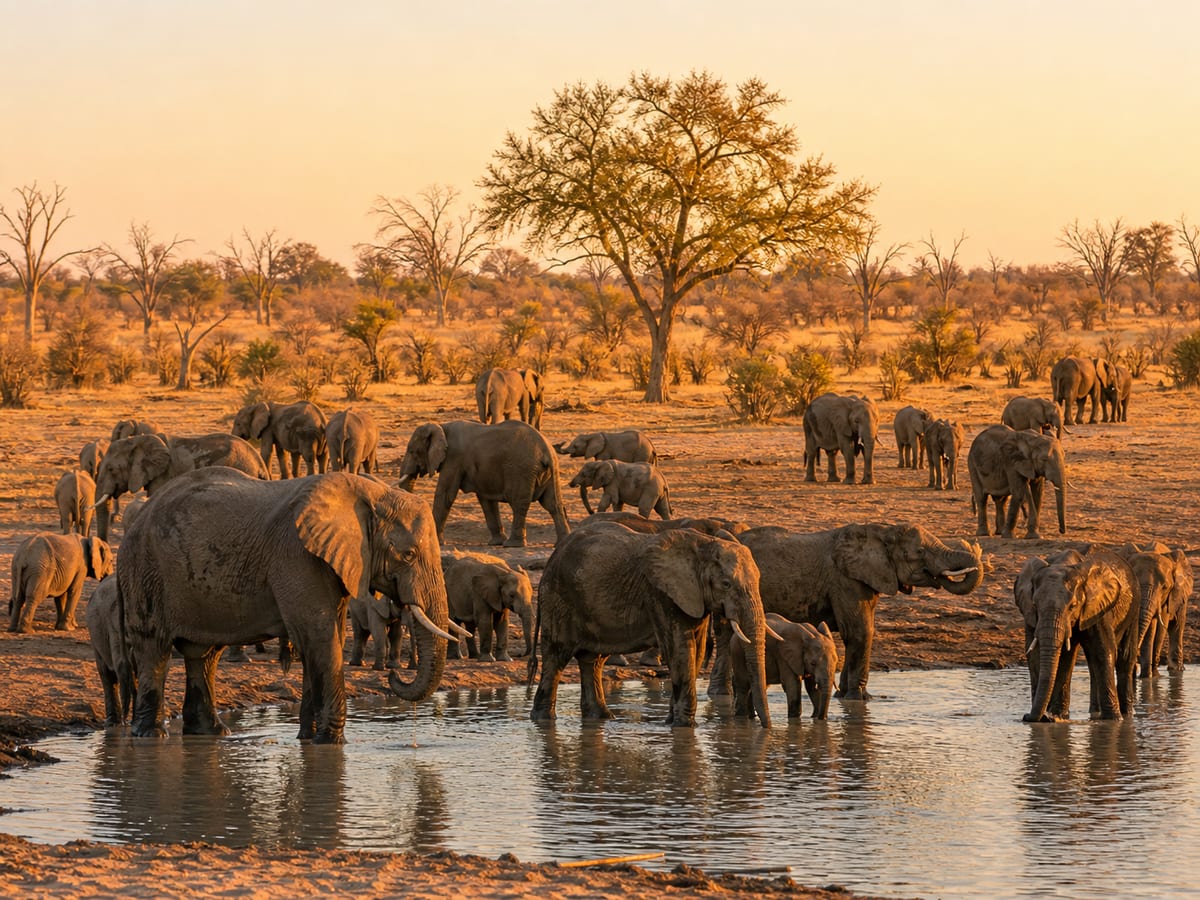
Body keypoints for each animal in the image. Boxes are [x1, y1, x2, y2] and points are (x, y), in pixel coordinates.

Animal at [116, 468, 454, 742]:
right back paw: (150, 735)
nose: (394, 678)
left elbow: (322, 639)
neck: (372, 492)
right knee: (154, 649)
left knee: (204, 655)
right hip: (145, 572)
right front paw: (331, 742)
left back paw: (212, 733)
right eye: (408, 555)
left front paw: (309, 739)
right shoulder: (297, 556)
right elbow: (321, 639)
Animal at [396, 419, 571, 548]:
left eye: (412, 451)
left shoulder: (454, 458)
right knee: (553, 504)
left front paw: (438, 543)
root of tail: (546, 450)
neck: (441, 426)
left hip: (522, 470)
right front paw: (495, 543)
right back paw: (561, 543)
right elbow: (486, 501)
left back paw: (513, 545)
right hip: (549, 472)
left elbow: (445, 495)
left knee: (519, 503)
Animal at [529, 523, 771, 727]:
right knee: (556, 657)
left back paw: (601, 718)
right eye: (726, 584)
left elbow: (698, 651)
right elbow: (681, 651)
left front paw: (672, 721)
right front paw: (683, 726)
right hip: (558, 600)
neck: (704, 543)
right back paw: (543, 721)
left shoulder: (694, 597)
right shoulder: (661, 594)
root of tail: (551, 558)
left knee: (592, 660)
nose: (764, 727)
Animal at [726, 523, 983, 701]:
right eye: (920, 551)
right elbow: (862, 632)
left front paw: (843, 697)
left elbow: (853, 635)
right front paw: (861, 699)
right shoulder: (845, 580)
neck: (883, 531)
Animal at [1014, 549, 1140, 722]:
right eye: (1034, 604)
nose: (1027, 716)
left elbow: (1103, 651)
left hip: (1134, 608)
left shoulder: (1097, 607)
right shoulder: (1030, 615)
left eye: (1072, 606)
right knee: (1090, 662)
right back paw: (1094, 713)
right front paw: (1056, 716)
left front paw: (1113, 720)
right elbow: (1037, 654)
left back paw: (1126, 715)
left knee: (1124, 657)